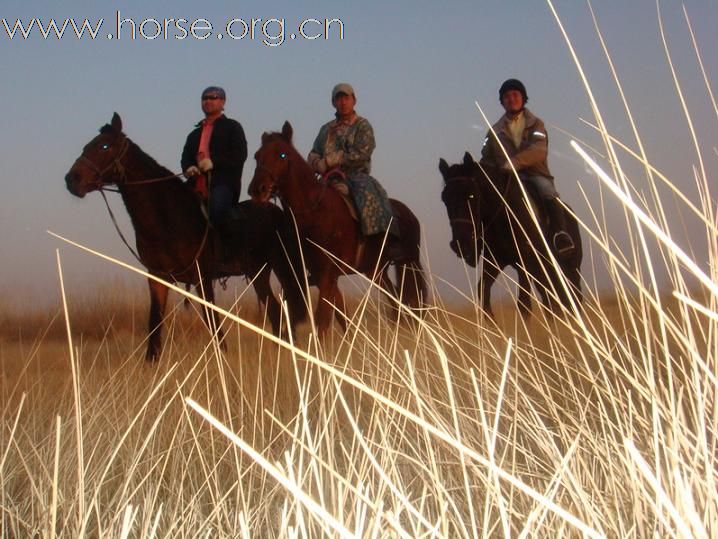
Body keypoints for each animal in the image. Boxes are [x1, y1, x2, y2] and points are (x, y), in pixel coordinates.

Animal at [64, 113, 306, 362]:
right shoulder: (157, 278)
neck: (168, 219)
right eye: (87, 146)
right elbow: (155, 322)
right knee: (274, 310)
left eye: (104, 146)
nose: (72, 179)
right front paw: (151, 364)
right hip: (259, 273)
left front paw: (222, 359)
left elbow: (212, 320)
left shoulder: (202, 277)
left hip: (282, 267)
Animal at [249, 121, 428, 338]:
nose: (257, 189)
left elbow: (323, 321)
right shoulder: (322, 276)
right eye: (257, 155)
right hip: (376, 270)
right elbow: (341, 315)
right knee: (395, 298)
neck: (315, 212)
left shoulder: (327, 274)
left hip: (409, 263)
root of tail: (409, 214)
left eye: (282, 154)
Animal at [438, 150, 584, 318]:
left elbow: (524, 304)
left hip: (570, 269)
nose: (460, 244)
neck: (505, 213)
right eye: (444, 199)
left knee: (574, 298)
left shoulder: (525, 263)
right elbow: (484, 293)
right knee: (550, 300)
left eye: (471, 195)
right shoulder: (494, 261)